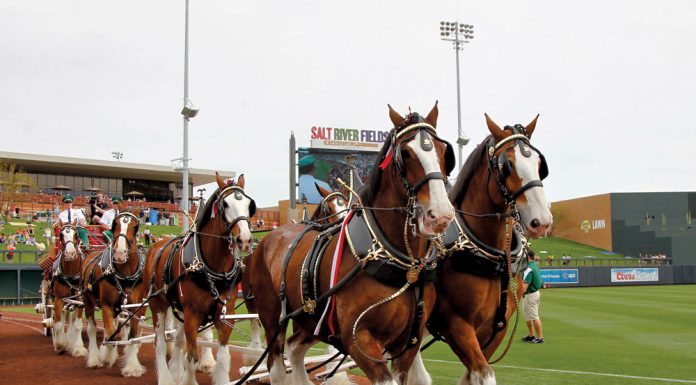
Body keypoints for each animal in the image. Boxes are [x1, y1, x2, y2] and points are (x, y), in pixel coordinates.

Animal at [49, 224, 87, 356]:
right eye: (61, 235)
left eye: (76, 235)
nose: (70, 253)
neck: (70, 274)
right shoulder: (59, 299)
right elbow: (58, 324)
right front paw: (60, 345)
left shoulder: (80, 300)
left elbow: (77, 325)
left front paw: (78, 347)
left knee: (72, 320)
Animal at [81, 210, 146, 376]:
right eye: (114, 224)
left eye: (135, 227)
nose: (120, 254)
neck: (124, 274)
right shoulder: (106, 305)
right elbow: (110, 334)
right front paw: (106, 357)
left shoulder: (135, 306)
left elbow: (132, 336)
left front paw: (132, 367)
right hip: (87, 301)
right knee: (92, 329)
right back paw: (94, 359)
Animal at [144, 173, 256, 384]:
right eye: (225, 204)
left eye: (248, 204)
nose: (245, 240)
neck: (213, 267)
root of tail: (157, 244)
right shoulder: (192, 314)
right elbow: (192, 358)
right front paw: (187, 378)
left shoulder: (225, 314)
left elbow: (223, 358)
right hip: (158, 304)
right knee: (160, 342)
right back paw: (166, 377)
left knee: (178, 340)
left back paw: (175, 371)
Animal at [246, 103, 456, 384]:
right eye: (406, 154)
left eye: (444, 152)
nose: (441, 214)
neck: (402, 265)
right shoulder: (358, 340)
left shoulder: (408, 343)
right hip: (272, 318)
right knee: (278, 366)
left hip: (311, 321)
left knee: (295, 348)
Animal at [424, 114, 556, 384]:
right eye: (507, 165)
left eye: (540, 164)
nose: (542, 221)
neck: (493, 257)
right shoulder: (456, 324)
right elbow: (484, 373)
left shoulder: (496, 329)